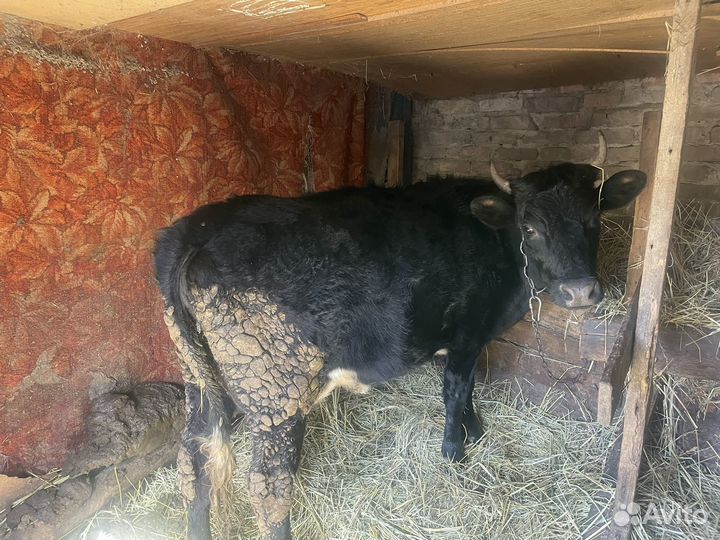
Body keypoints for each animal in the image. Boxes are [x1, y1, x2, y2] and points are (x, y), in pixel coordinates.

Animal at [153, 134, 646, 540]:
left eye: (594, 219)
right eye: (530, 227)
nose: (580, 292)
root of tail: (200, 230)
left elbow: (468, 389)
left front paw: (475, 431)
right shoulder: (468, 332)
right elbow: (456, 390)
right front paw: (455, 452)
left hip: (199, 378)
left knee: (192, 460)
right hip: (275, 389)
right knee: (268, 485)